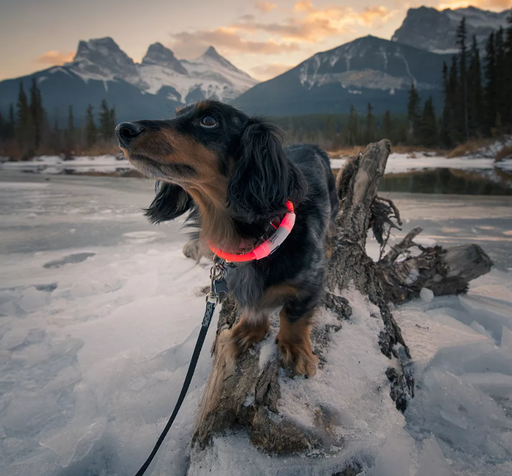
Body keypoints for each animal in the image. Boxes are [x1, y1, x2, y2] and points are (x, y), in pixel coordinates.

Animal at [116, 100, 340, 376]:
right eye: (177, 114)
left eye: (209, 121)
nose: (122, 129)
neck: (259, 236)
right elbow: (253, 308)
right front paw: (247, 332)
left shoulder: (310, 284)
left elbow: (293, 316)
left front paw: (296, 349)